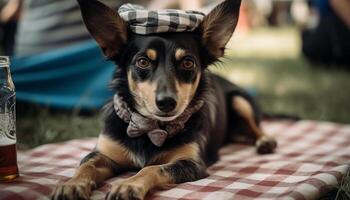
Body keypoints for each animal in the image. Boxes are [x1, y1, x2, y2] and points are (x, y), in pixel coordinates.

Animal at [51, 0, 276, 200]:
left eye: (188, 63)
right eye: (142, 62)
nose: (167, 102)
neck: (149, 127)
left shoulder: (191, 163)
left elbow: (152, 169)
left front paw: (128, 185)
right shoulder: (103, 155)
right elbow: (85, 166)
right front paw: (72, 185)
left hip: (240, 101)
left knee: (255, 127)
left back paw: (265, 141)